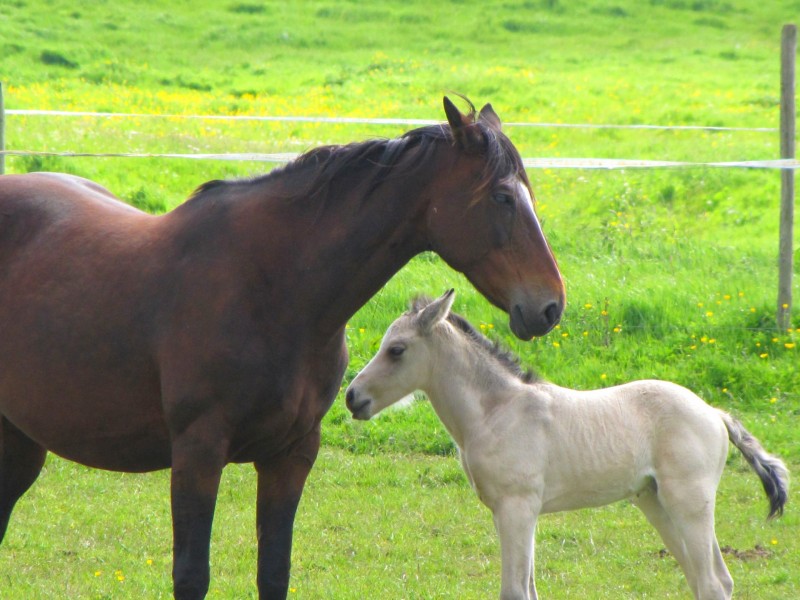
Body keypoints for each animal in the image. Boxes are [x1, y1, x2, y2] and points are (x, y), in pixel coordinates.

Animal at [0, 96, 564, 596]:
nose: (550, 305)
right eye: (502, 197)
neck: (274, 287)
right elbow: (192, 575)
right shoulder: (197, 453)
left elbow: (274, 572)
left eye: (531, 193)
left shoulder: (291, 455)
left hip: (21, 441)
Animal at [344, 290, 788, 600]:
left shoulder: (518, 508)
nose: (352, 397)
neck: (497, 411)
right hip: (656, 502)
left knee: (711, 582)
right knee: (710, 580)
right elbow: (529, 590)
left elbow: (514, 591)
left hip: (689, 503)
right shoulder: (510, 513)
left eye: (396, 350)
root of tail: (714, 412)